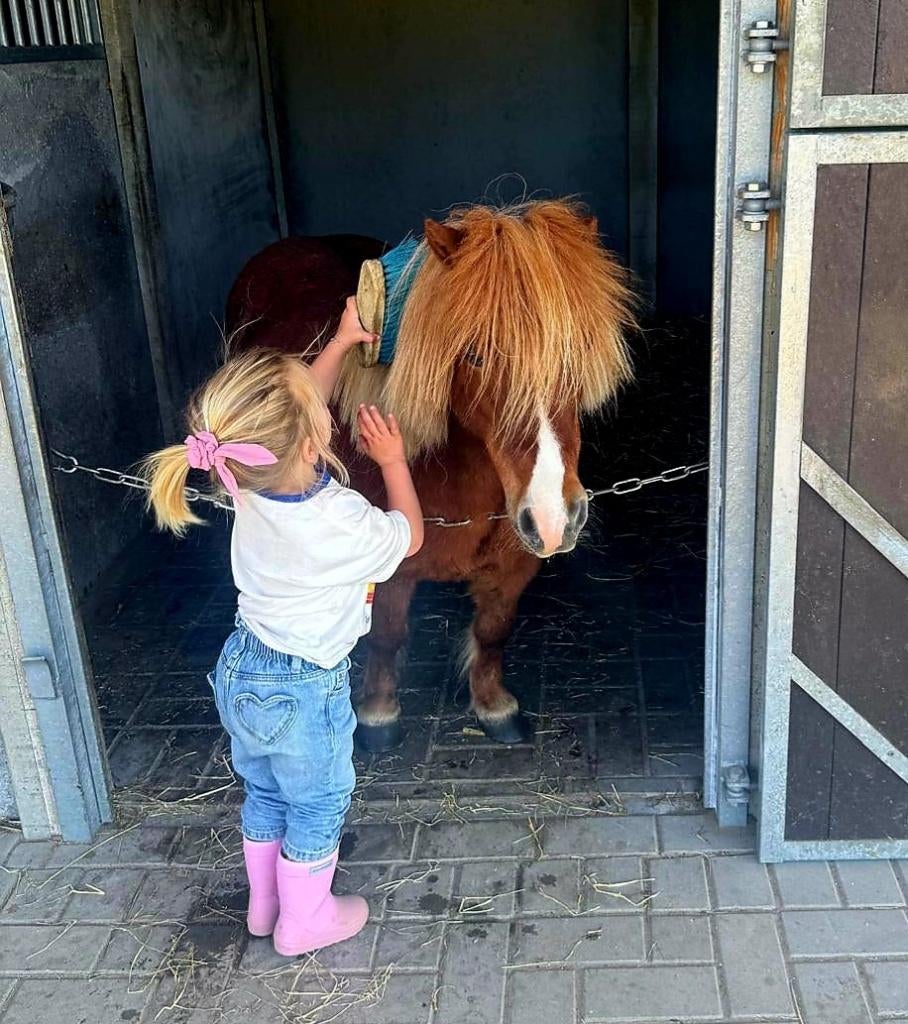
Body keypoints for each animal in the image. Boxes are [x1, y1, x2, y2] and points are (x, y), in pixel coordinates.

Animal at [226, 199, 633, 751]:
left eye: (580, 349)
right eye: (476, 355)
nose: (555, 519)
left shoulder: (514, 567)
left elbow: (492, 631)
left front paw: (494, 707)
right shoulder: (385, 563)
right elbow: (386, 635)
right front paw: (378, 715)